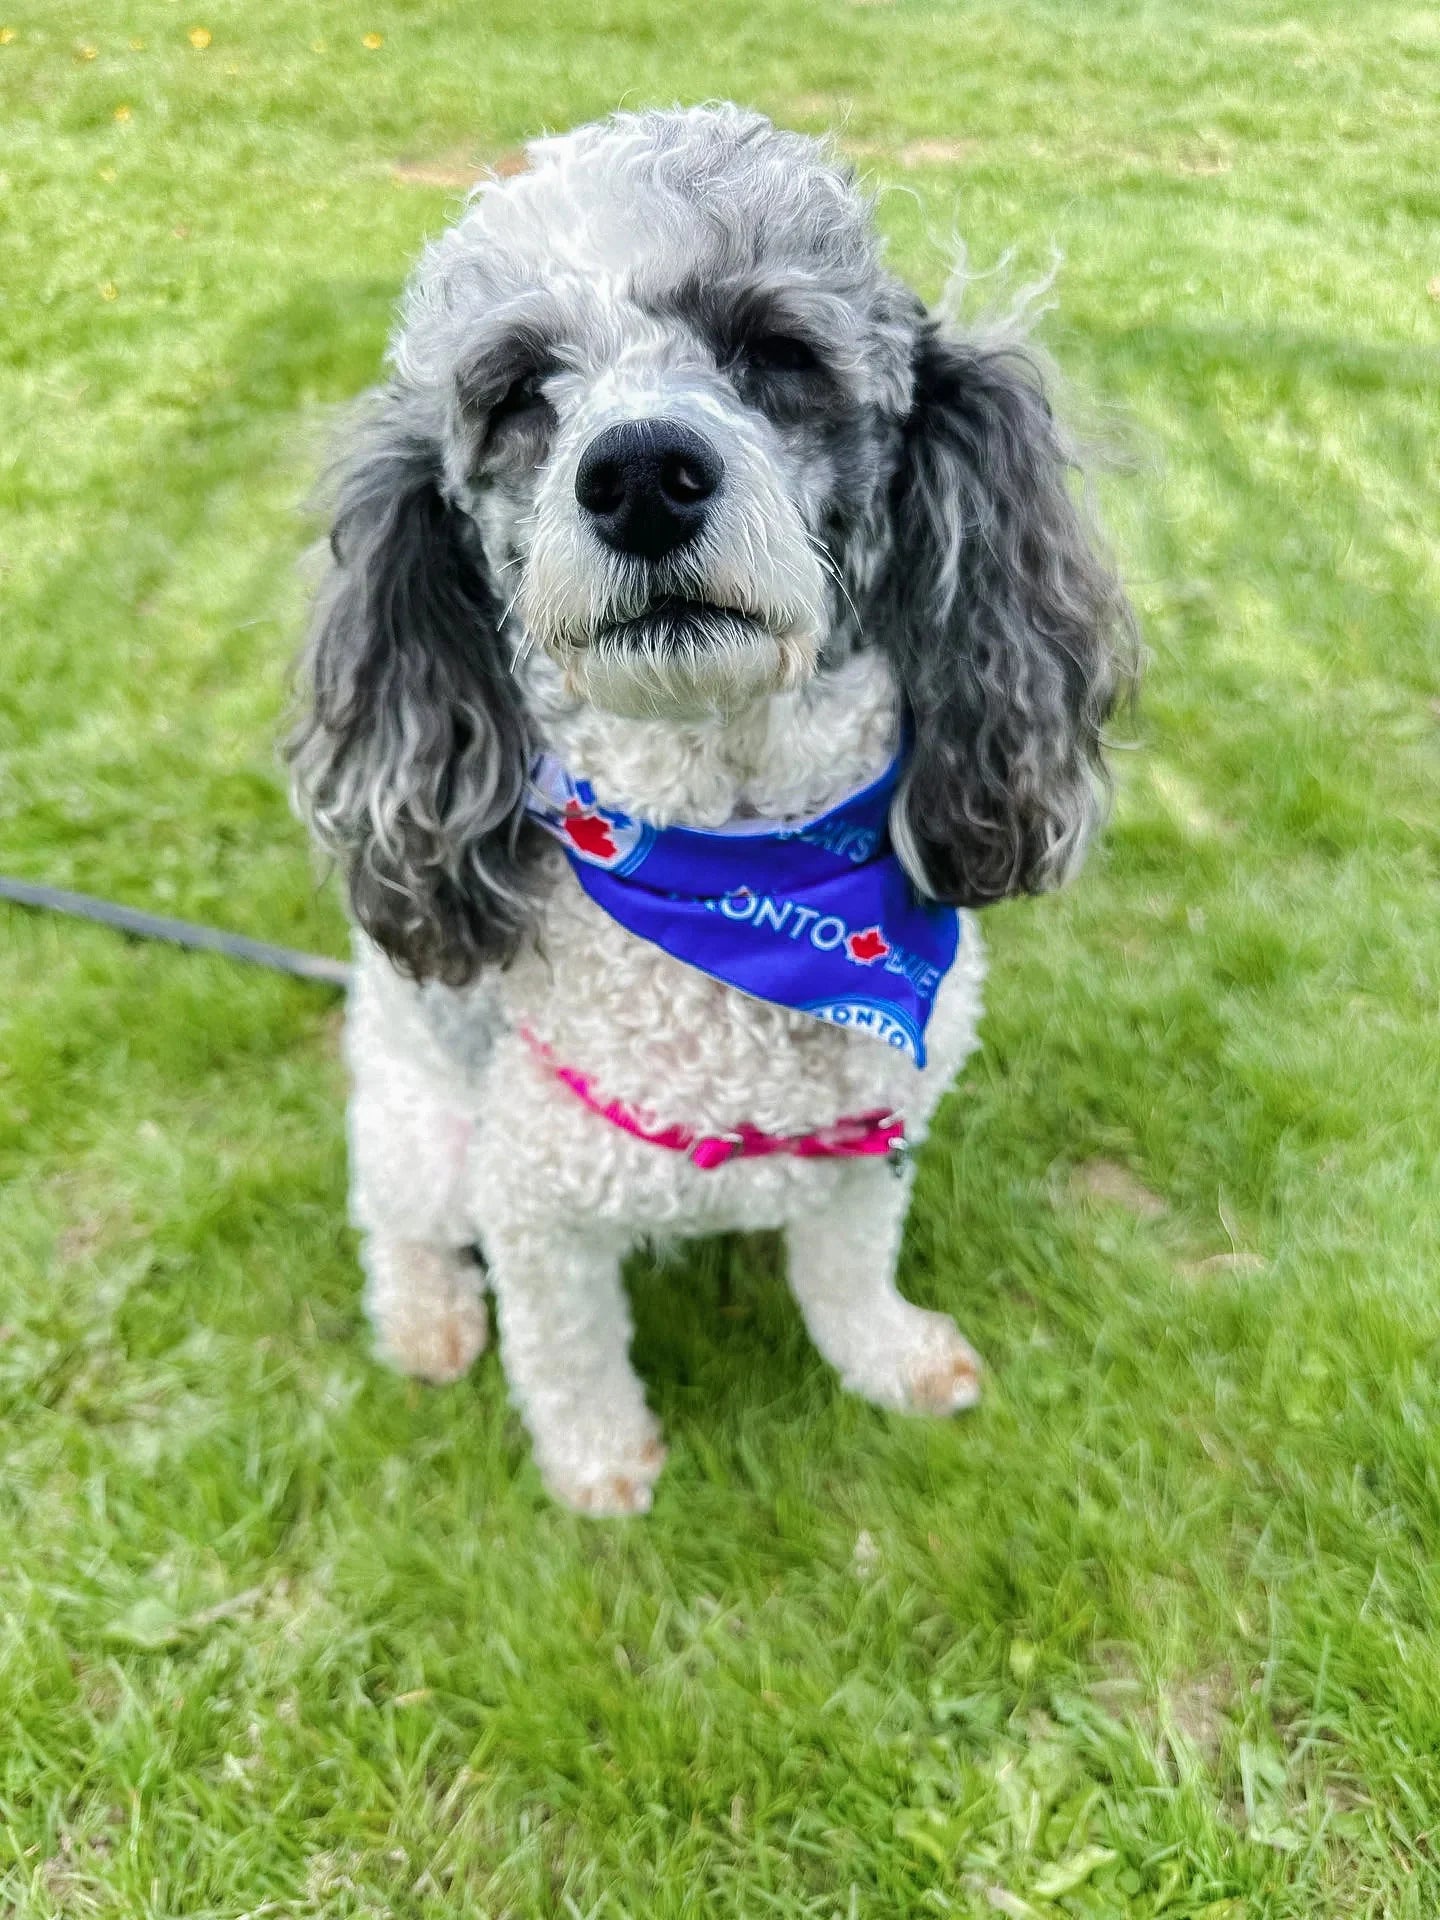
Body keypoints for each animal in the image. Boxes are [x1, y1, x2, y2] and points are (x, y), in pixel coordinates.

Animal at [288, 101, 1136, 1512]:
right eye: (520, 393)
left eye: (777, 353)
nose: (639, 474)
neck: (739, 853)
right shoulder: (536, 1204)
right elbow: (569, 1351)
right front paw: (601, 1469)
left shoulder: (871, 1136)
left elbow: (848, 1270)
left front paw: (890, 1362)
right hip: (418, 1125)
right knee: (395, 1226)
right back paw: (427, 1323)